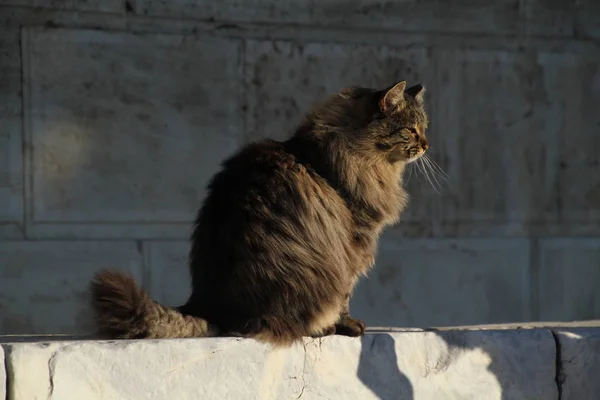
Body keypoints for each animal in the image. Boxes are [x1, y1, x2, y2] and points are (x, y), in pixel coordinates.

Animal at [89, 79, 428, 346]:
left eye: (424, 128)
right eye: (410, 130)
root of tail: (210, 304)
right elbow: (346, 294)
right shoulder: (355, 240)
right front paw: (347, 324)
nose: (426, 144)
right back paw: (324, 326)